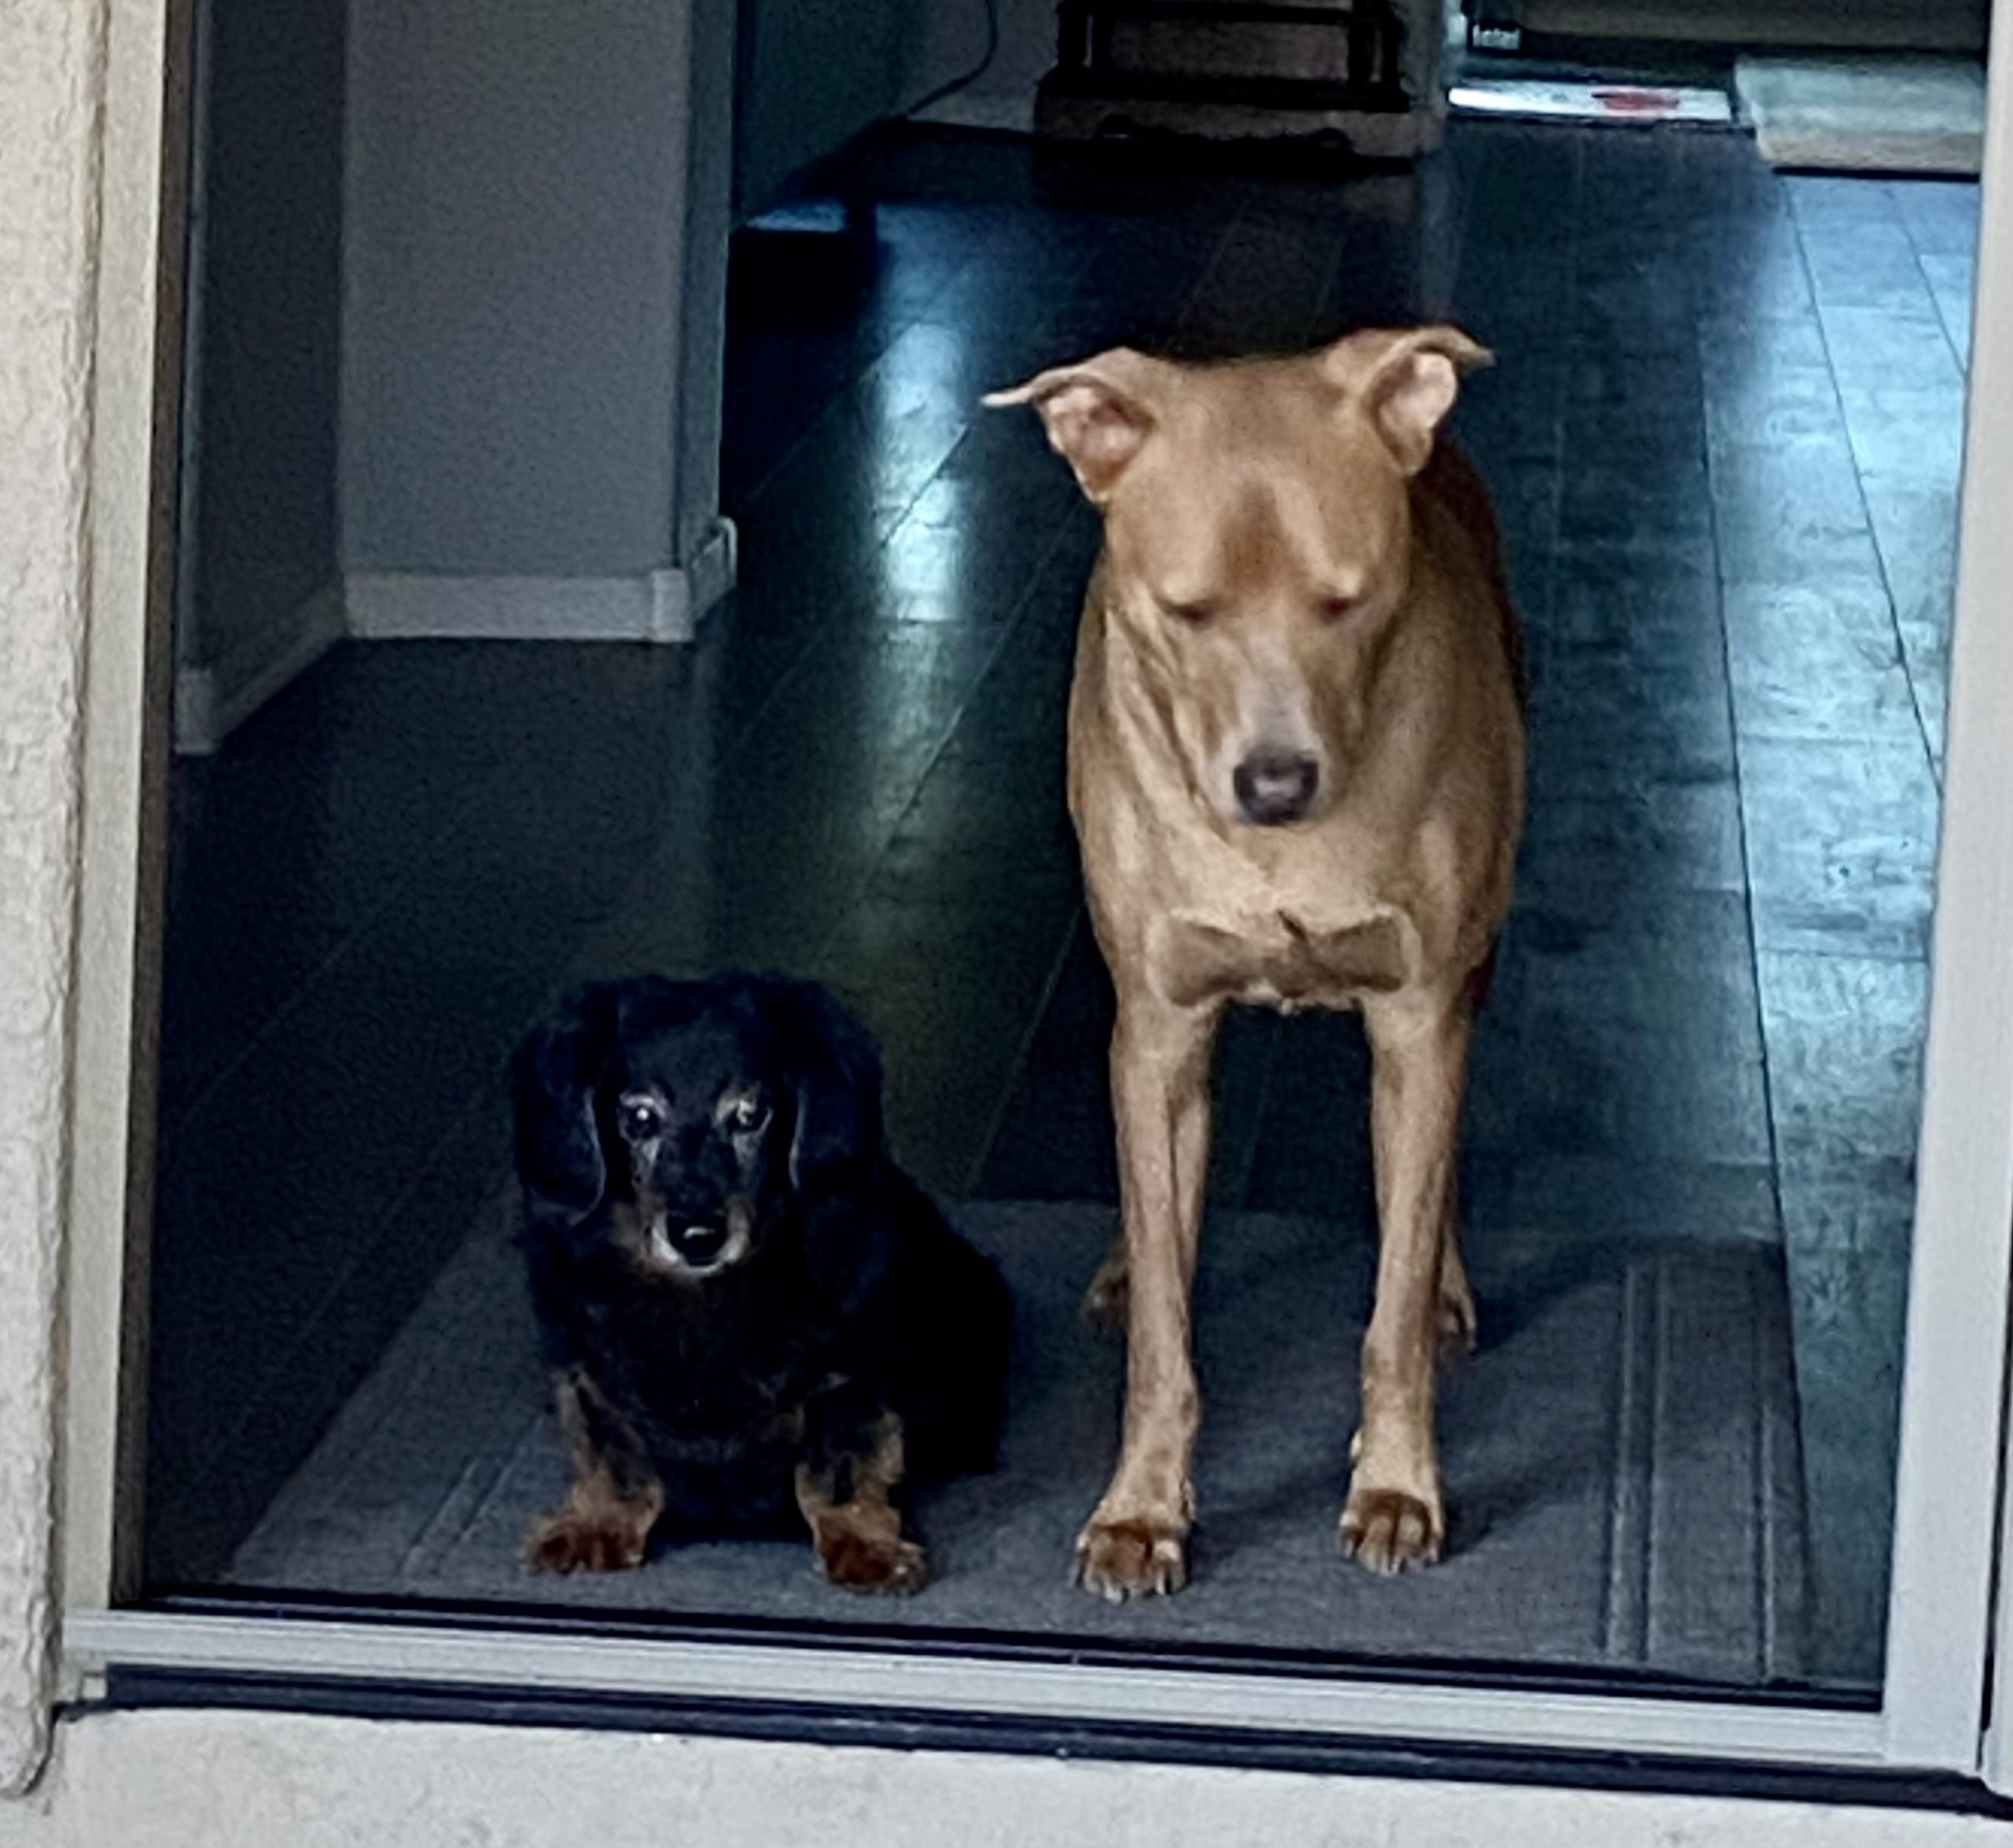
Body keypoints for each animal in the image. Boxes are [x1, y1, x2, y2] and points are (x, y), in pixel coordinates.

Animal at [509, 972, 1011, 1593]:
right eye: (640, 1118)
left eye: (750, 1115)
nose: (698, 1235)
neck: (700, 1299)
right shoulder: (586, 1369)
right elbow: (613, 1456)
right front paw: (596, 1528)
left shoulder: (849, 1375)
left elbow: (836, 1472)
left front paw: (864, 1546)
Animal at [986, 326, 1525, 1596]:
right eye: (1185, 611)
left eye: (1350, 599)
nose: (1276, 783)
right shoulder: (1160, 1027)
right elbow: (1164, 1329)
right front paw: (1141, 1508)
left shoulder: (1419, 1019)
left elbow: (1389, 1305)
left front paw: (1397, 1486)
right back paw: (1127, 1264)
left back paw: (1445, 1285)